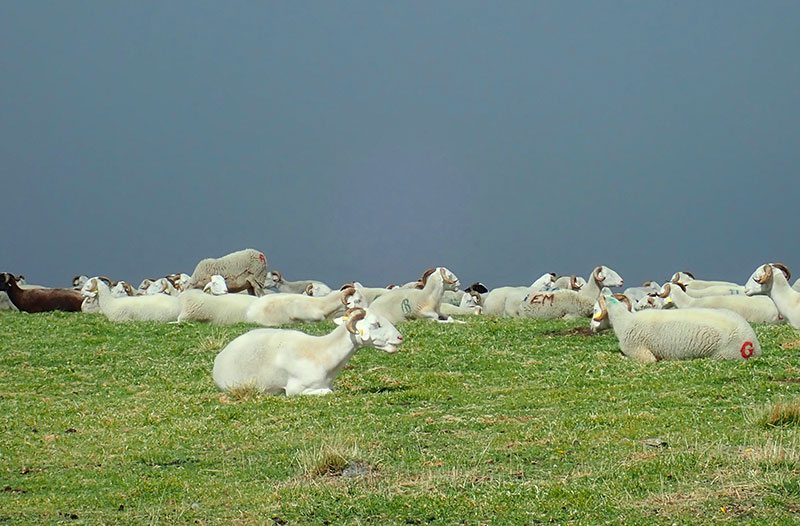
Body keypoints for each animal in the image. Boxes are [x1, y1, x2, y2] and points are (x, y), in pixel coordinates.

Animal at [212, 308, 404, 398]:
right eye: (376, 324)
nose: (400, 337)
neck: (322, 352)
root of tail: (219, 358)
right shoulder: (296, 389)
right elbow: (328, 392)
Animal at [588, 294, 764, 366]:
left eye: (596, 309)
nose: (590, 327)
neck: (624, 321)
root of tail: (753, 344)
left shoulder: (639, 352)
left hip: (723, 355)